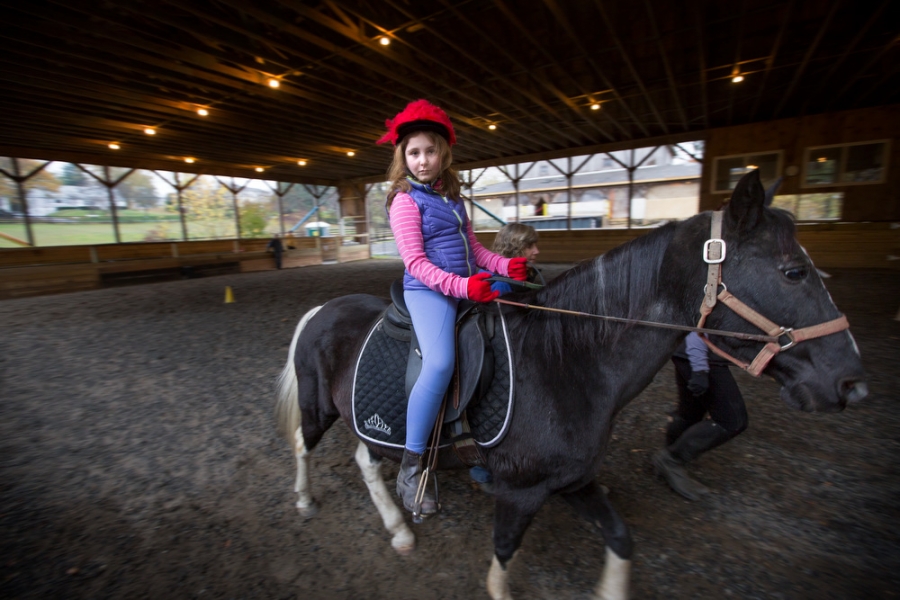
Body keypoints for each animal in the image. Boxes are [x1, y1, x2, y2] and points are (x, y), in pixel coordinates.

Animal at [274, 171, 864, 596]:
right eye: (793, 272)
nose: (851, 383)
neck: (566, 361)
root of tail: (324, 309)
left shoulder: (573, 479)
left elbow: (621, 540)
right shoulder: (521, 491)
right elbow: (503, 557)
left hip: (371, 423)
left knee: (367, 458)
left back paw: (399, 526)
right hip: (320, 407)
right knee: (304, 444)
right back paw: (305, 501)